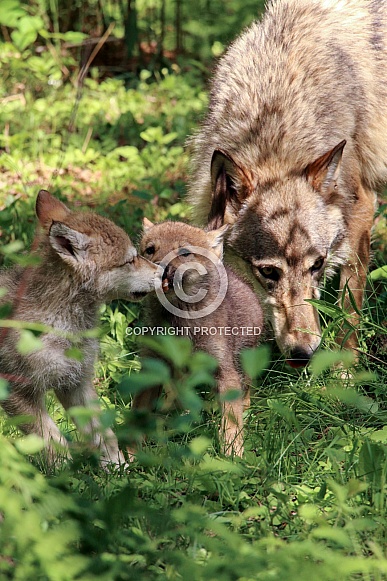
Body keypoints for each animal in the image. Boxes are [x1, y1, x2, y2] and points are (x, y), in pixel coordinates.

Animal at [189, 0, 387, 364]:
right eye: (269, 272)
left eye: (317, 265)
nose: (303, 354)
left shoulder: (362, 209)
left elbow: (348, 309)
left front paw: (344, 371)